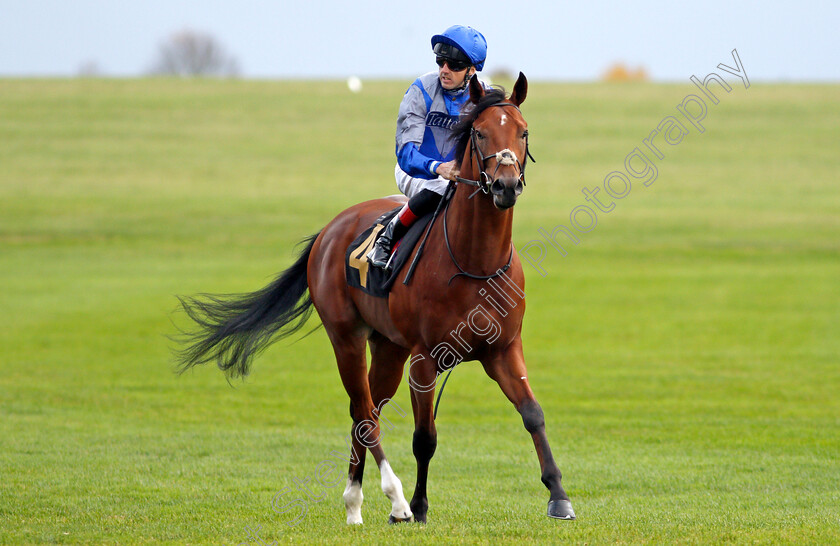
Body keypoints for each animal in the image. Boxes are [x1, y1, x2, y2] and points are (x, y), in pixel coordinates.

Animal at [174, 73, 576, 524]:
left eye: (522, 131)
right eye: (479, 132)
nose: (506, 185)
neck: (475, 262)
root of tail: (331, 227)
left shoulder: (503, 349)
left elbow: (533, 414)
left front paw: (559, 496)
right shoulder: (425, 359)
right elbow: (424, 437)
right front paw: (418, 506)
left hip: (388, 348)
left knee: (366, 410)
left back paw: (356, 503)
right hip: (346, 337)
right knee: (364, 413)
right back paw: (390, 498)